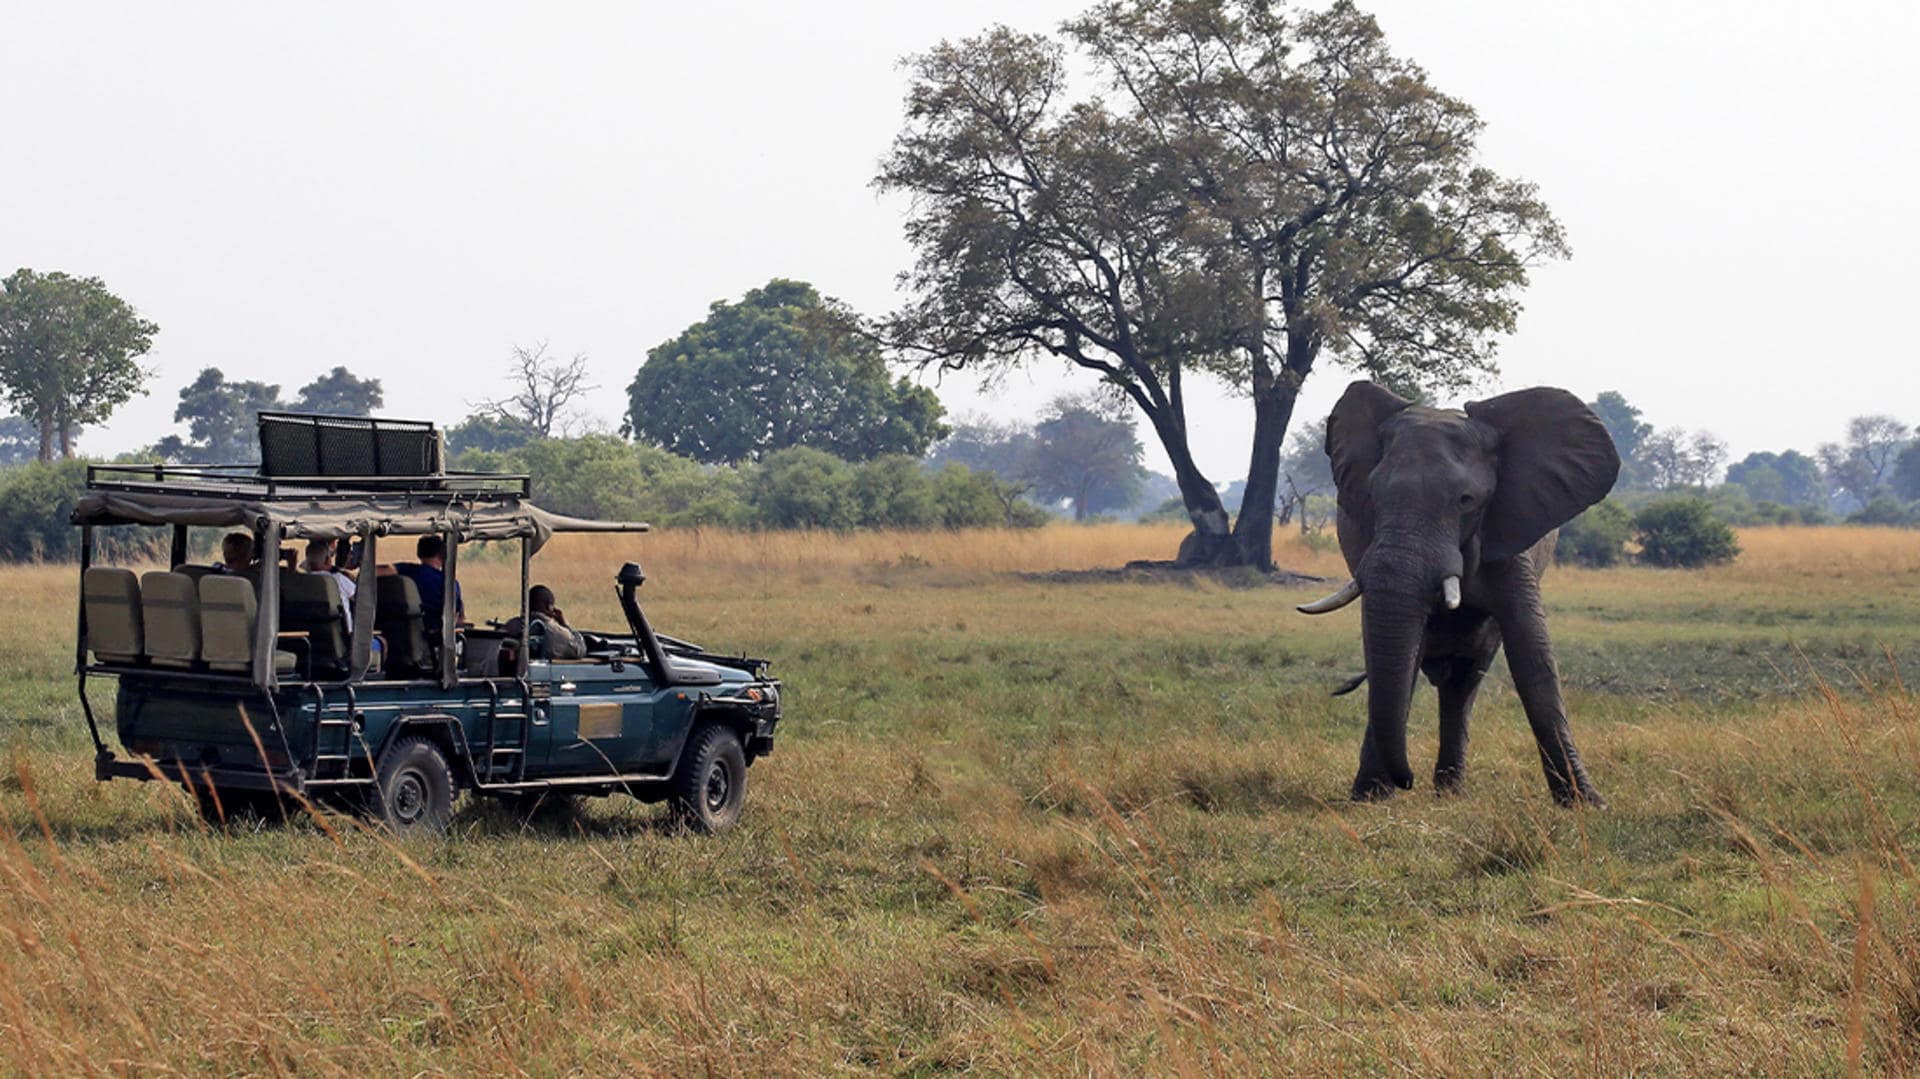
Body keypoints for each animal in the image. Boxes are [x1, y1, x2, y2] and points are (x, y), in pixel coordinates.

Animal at [1296, 381, 1619, 806]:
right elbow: (1403, 653)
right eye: (1373, 496)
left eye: (1466, 501)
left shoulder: (1510, 535)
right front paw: (1370, 797)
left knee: (1465, 679)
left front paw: (1586, 804)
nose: (1408, 780)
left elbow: (1532, 656)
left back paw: (1449, 792)